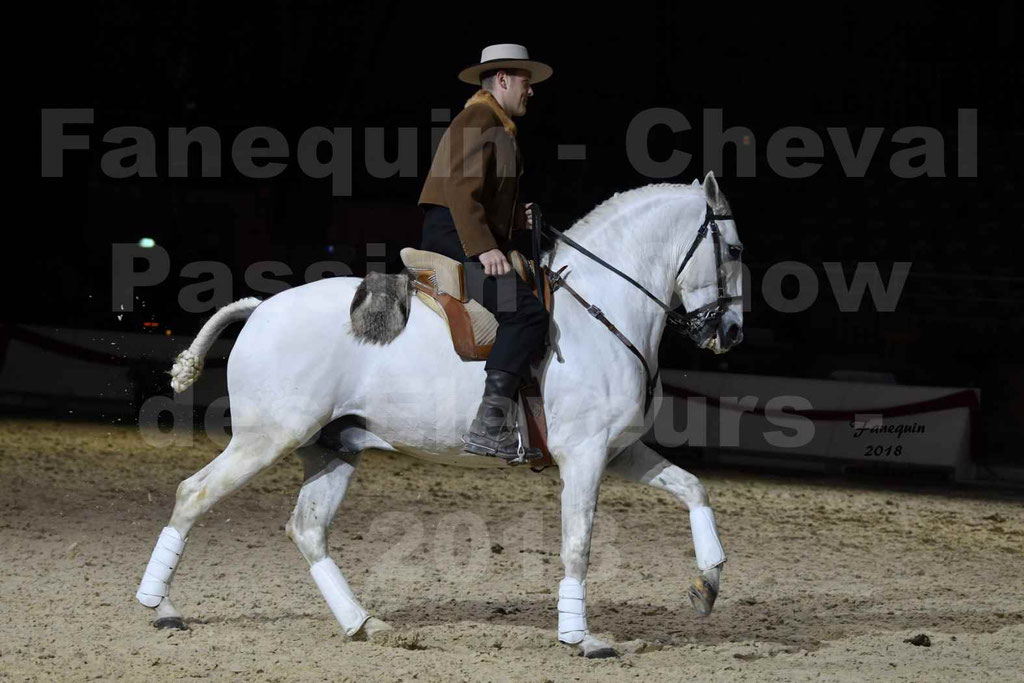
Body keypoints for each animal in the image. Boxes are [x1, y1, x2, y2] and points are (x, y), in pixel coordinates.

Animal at [135, 171, 744, 658]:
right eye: (735, 251)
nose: (732, 333)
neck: (603, 311)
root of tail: (261, 308)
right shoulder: (586, 456)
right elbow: (579, 544)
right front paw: (581, 638)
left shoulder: (617, 451)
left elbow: (693, 488)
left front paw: (708, 585)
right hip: (265, 440)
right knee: (194, 494)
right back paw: (160, 607)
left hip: (333, 448)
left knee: (307, 529)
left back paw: (363, 624)